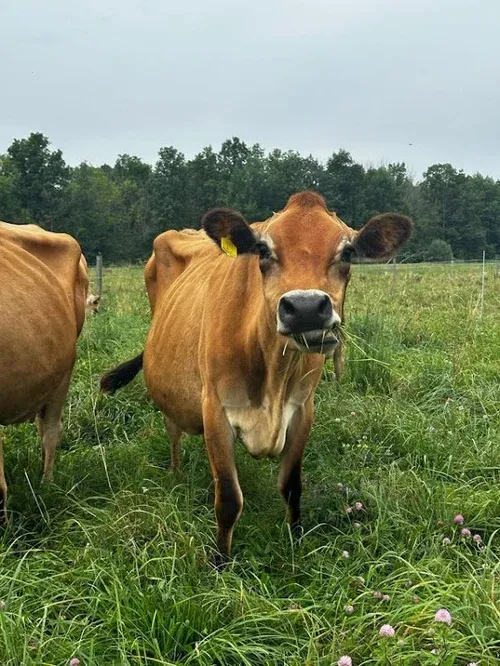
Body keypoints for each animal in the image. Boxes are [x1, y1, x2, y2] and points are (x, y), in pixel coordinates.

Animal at [100, 192, 412, 562]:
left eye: (347, 252)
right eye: (263, 249)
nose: (305, 308)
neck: (272, 378)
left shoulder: (303, 409)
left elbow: (292, 486)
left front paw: (295, 538)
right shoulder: (215, 410)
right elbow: (228, 499)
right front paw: (220, 561)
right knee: (173, 429)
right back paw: (175, 473)